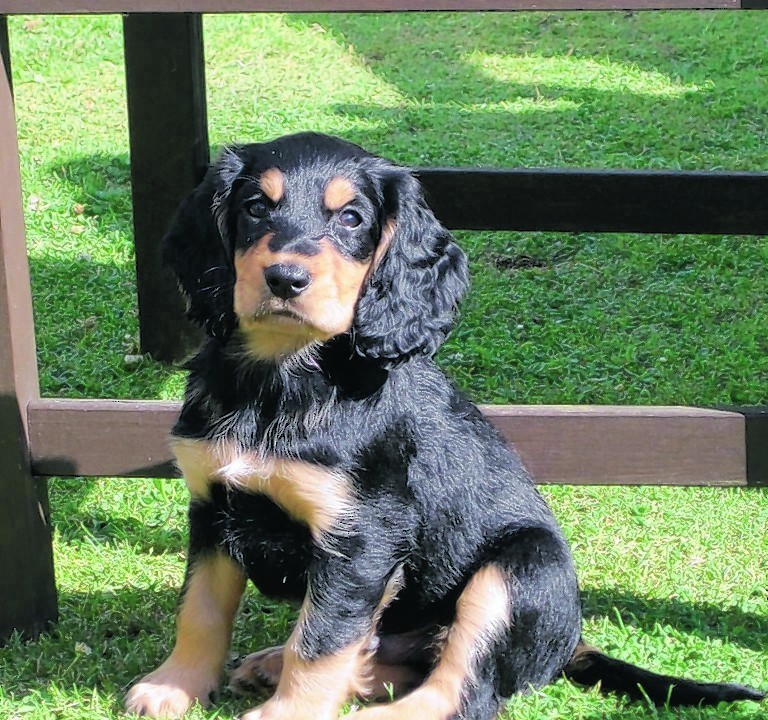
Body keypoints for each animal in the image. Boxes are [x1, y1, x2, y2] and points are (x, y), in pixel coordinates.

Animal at [124, 132, 760, 716]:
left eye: (352, 218)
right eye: (256, 207)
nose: (285, 279)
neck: (282, 379)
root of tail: (572, 643)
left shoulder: (363, 536)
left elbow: (322, 640)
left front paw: (285, 713)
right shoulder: (213, 506)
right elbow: (201, 607)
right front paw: (174, 685)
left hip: (518, 570)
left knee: (461, 690)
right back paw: (272, 664)